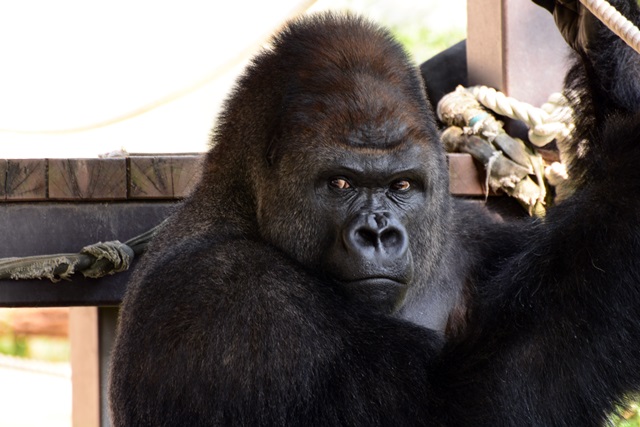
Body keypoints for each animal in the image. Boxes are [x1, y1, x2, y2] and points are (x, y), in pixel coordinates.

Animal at [110, 0, 640, 424]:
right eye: (341, 183)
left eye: (400, 185)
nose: (378, 234)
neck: (240, 204)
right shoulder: (228, 294)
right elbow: (466, 404)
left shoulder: (471, 233)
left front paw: (608, 48)